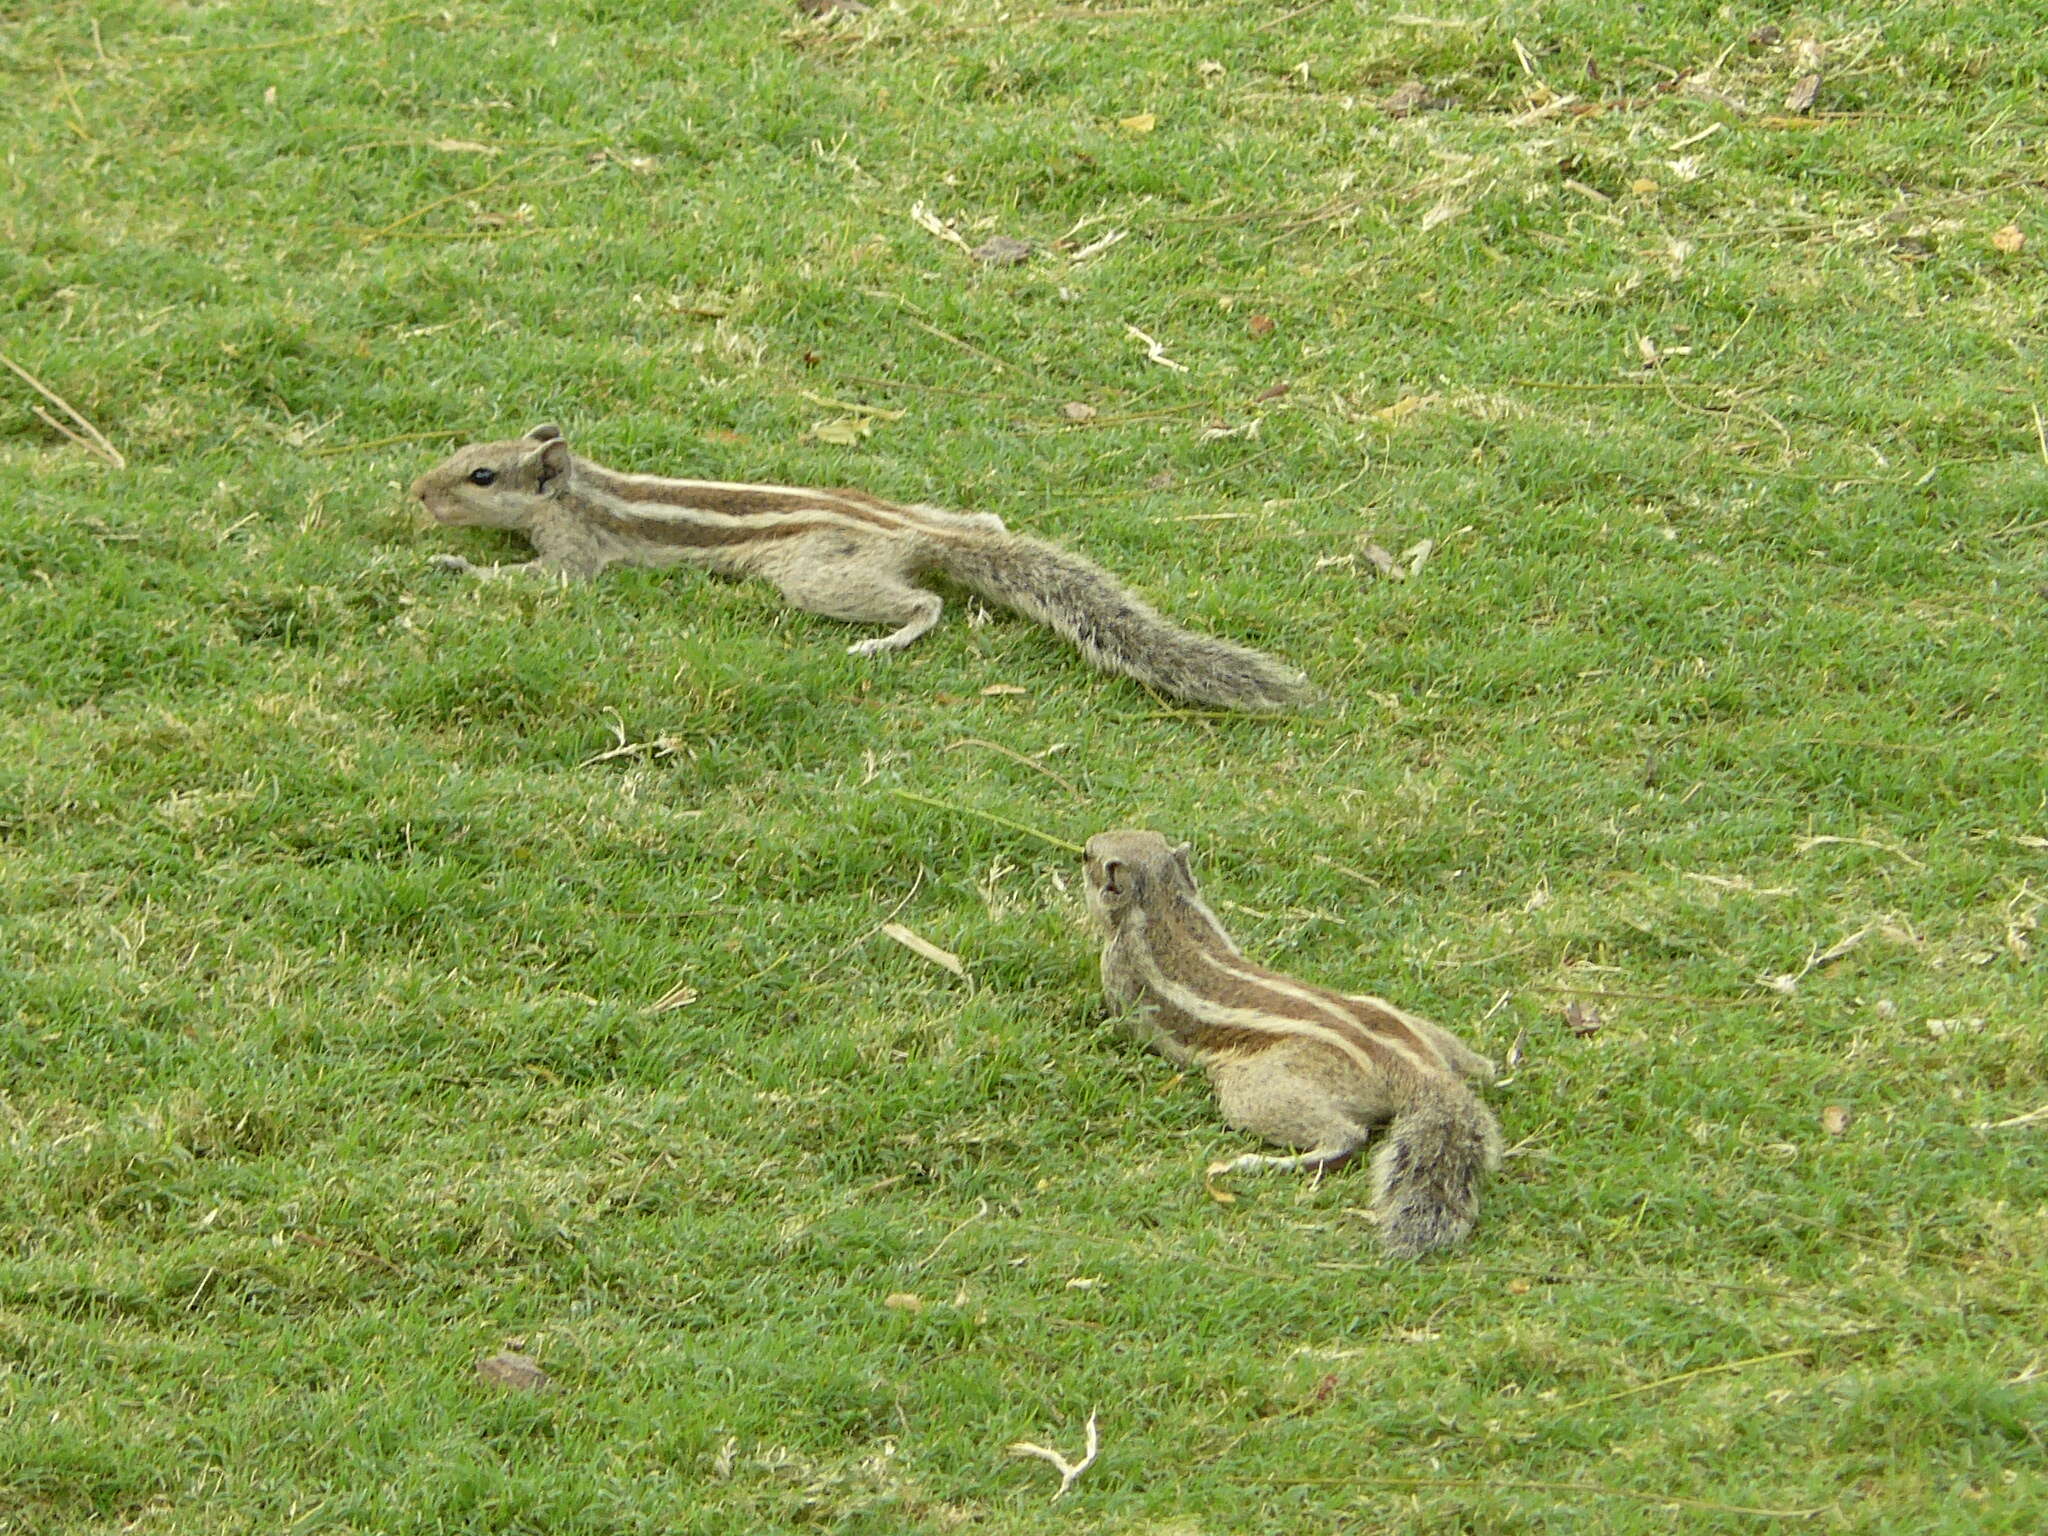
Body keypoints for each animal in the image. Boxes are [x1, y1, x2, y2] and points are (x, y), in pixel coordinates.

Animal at [411, 428, 1310, 716]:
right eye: (461, 452)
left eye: (480, 477)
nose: (416, 493)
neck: (581, 486)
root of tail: (908, 531)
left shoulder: (576, 556)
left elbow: (548, 583)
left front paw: (453, 562)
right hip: (928, 525)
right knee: (976, 527)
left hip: (816, 576)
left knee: (922, 605)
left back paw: (881, 643)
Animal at [1089, 835, 1507, 1253]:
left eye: (1087, 857)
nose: (1088, 844)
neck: (1163, 903)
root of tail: (1414, 1068)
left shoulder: (1119, 973)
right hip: (1402, 1021)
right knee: (1473, 1067)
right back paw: (1485, 1068)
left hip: (1259, 1090)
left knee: (1347, 1137)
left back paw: (1259, 1163)